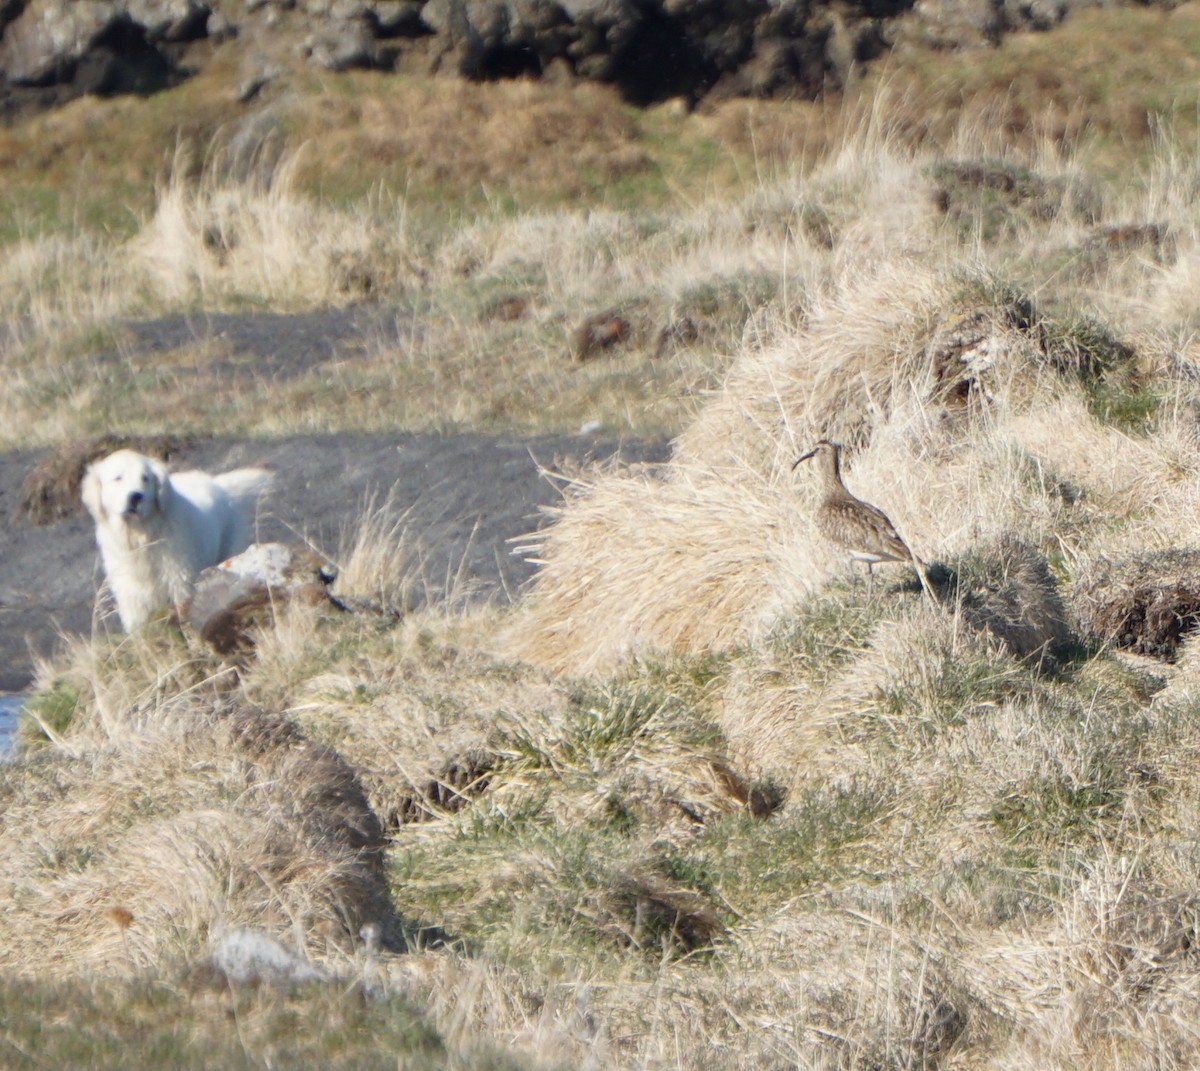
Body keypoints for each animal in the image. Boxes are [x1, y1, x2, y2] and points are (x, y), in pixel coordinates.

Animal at [82, 449, 274, 633]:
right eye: (118, 478)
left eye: (145, 478)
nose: (136, 497)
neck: (142, 537)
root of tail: (218, 485)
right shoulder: (130, 592)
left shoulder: (180, 580)